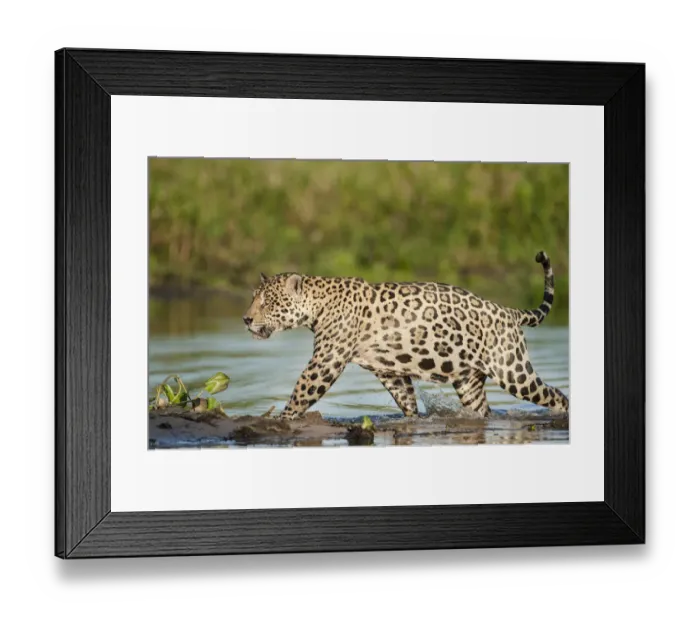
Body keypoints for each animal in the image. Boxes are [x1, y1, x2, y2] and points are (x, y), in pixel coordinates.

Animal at [243, 251, 569, 420]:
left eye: (267, 302)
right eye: (254, 299)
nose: (246, 319)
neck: (318, 303)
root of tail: (509, 312)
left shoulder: (326, 360)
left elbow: (302, 392)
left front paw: (282, 420)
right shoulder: (389, 371)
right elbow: (406, 400)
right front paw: (412, 419)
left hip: (513, 371)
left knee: (556, 395)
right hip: (469, 382)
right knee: (482, 409)